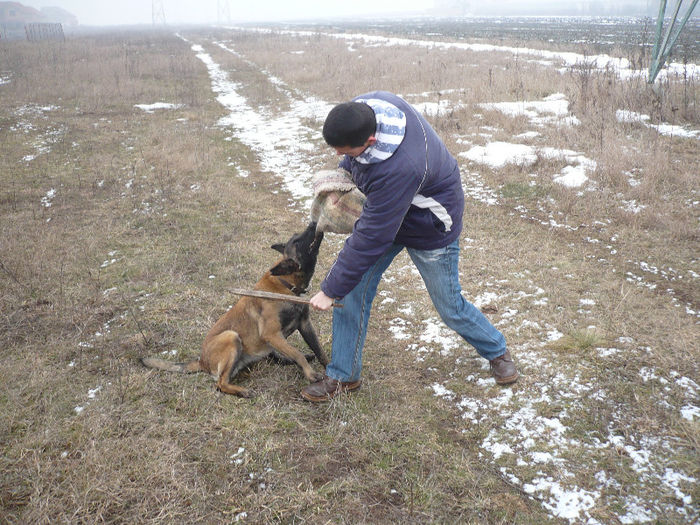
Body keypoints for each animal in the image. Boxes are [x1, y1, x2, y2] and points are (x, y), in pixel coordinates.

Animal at [144, 222, 330, 398]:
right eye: (297, 241)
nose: (313, 223)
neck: (285, 284)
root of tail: (202, 361)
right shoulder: (271, 333)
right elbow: (297, 354)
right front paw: (311, 374)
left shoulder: (304, 324)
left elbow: (319, 350)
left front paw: (330, 370)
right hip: (231, 337)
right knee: (220, 383)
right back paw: (242, 391)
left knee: (274, 357)